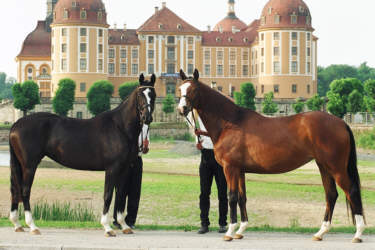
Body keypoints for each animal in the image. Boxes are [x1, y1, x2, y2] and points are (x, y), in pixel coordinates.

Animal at [9, 73, 156, 236]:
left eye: (153, 95)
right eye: (140, 95)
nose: (147, 118)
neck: (119, 127)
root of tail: (15, 125)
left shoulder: (124, 169)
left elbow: (120, 196)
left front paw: (124, 226)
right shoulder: (112, 169)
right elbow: (108, 195)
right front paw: (107, 227)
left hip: (20, 165)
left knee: (15, 190)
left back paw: (17, 224)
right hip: (29, 166)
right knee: (25, 191)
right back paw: (33, 226)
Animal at [178, 69, 366, 243]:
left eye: (193, 89)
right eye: (180, 89)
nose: (181, 109)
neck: (230, 123)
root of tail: (341, 123)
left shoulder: (230, 168)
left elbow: (231, 197)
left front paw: (230, 232)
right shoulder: (240, 170)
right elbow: (242, 197)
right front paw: (241, 230)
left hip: (336, 168)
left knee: (351, 191)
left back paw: (357, 234)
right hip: (324, 166)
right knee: (331, 194)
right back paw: (320, 232)